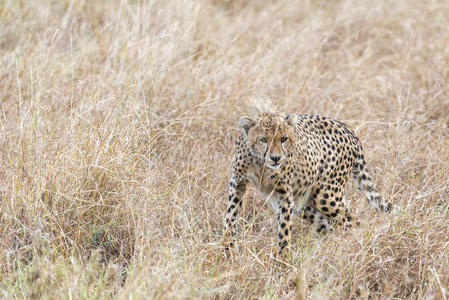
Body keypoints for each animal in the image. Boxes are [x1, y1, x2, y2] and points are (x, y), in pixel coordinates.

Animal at [223, 109, 392, 253]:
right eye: (263, 139)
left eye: (283, 139)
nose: (276, 158)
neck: (261, 163)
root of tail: (346, 127)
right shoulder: (237, 183)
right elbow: (231, 215)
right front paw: (227, 248)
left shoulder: (285, 194)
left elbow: (284, 229)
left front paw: (283, 260)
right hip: (305, 202)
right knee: (327, 223)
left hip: (325, 195)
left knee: (352, 220)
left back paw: (349, 245)